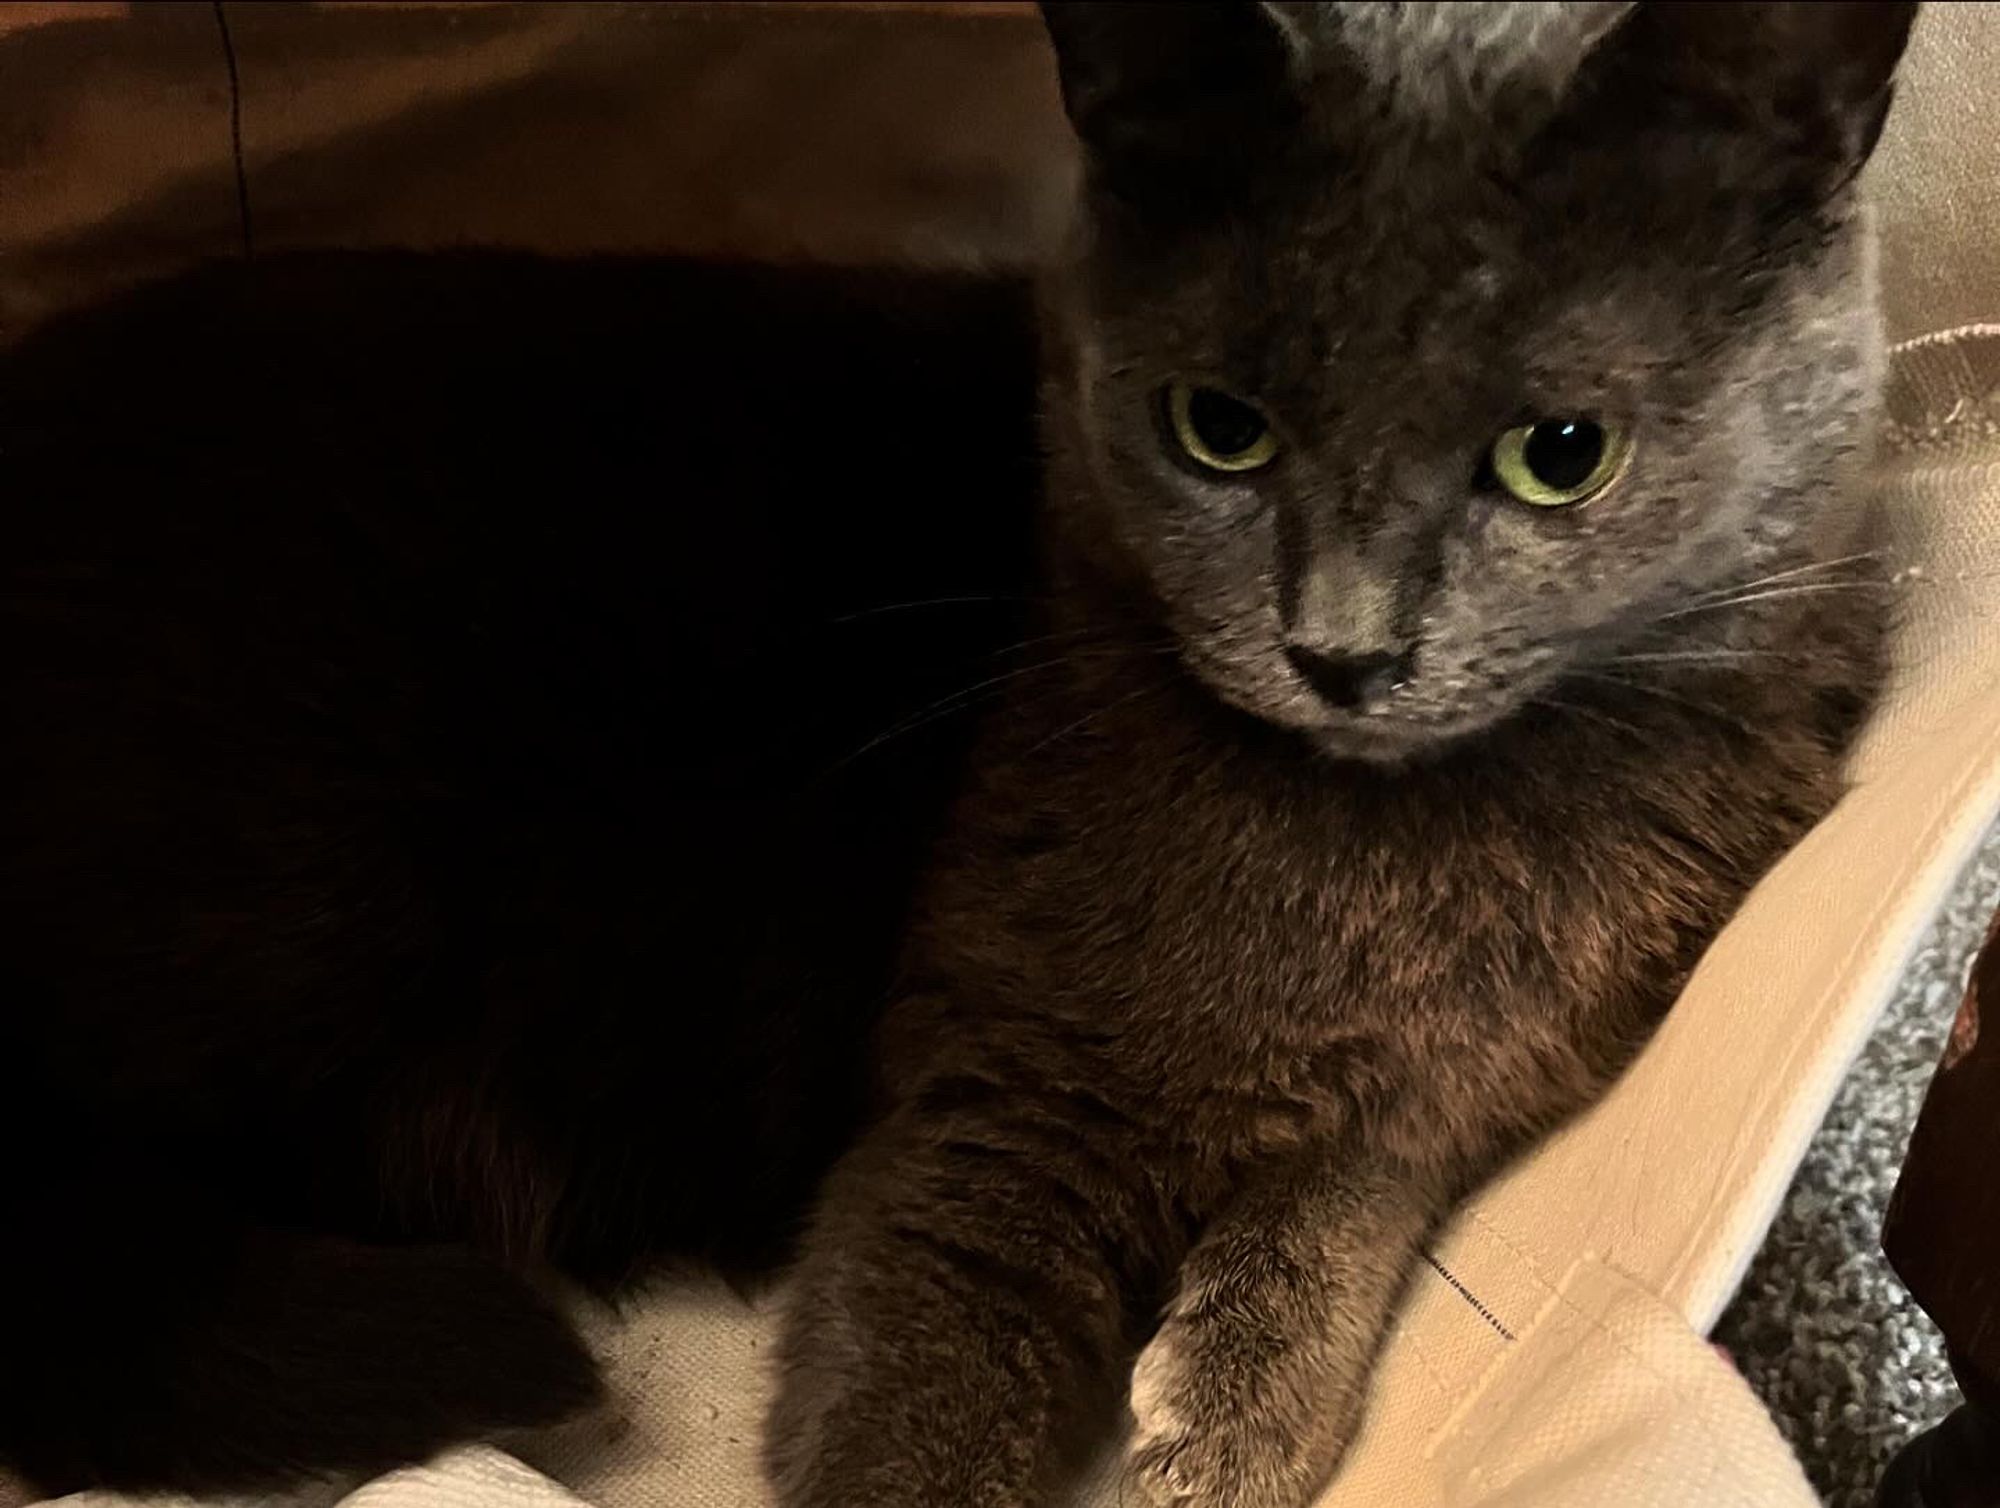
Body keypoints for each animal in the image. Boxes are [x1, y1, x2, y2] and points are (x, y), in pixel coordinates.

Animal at [764, 5, 1904, 1496]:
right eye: (1217, 428)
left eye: (1561, 453)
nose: (1341, 650)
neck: (1362, 861)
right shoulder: (994, 1069)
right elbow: (914, 1365)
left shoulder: (1521, 1040)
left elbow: (1365, 1162)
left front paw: (1235, 1407)